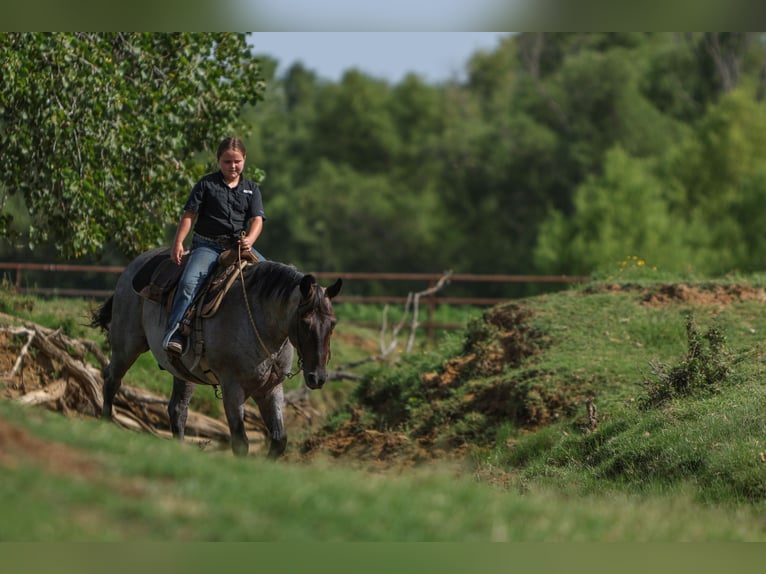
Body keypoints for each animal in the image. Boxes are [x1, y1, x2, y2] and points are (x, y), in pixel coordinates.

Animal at [90, 248, 342, 460]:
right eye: (305, 322)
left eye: (333, 323)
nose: (318, 377)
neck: (259, 321)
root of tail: (135, 265)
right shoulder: (232, 388)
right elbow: (240, 442)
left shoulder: (271, 388)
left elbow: (279, 440)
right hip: (126, 346)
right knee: (111, 380)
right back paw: (105, 426)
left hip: (182, 371)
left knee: (177, 409)